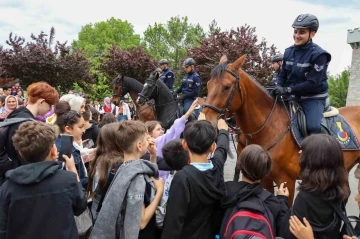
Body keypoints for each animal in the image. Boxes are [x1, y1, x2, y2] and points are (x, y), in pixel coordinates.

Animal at [202, 54, 360, 204]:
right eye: (208, 84)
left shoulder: (286, 181)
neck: (271, 127)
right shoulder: (265, 178)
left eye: (227, 87)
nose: (205, 120)